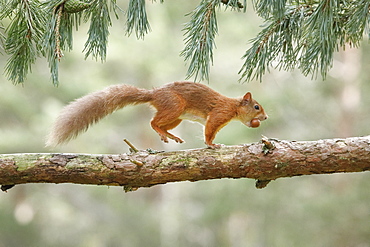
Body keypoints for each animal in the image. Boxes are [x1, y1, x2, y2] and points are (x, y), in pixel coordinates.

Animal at [46, 82, 268, 150]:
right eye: (257, 107)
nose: (265, 118)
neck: (233, 107)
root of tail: (154, 94)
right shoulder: (218, 114)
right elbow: (209, 131)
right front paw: (211, 144)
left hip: (177, 116)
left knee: (160, 124)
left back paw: (170, 135)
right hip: (175, 107)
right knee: (153, 122)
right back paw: (162, 133)